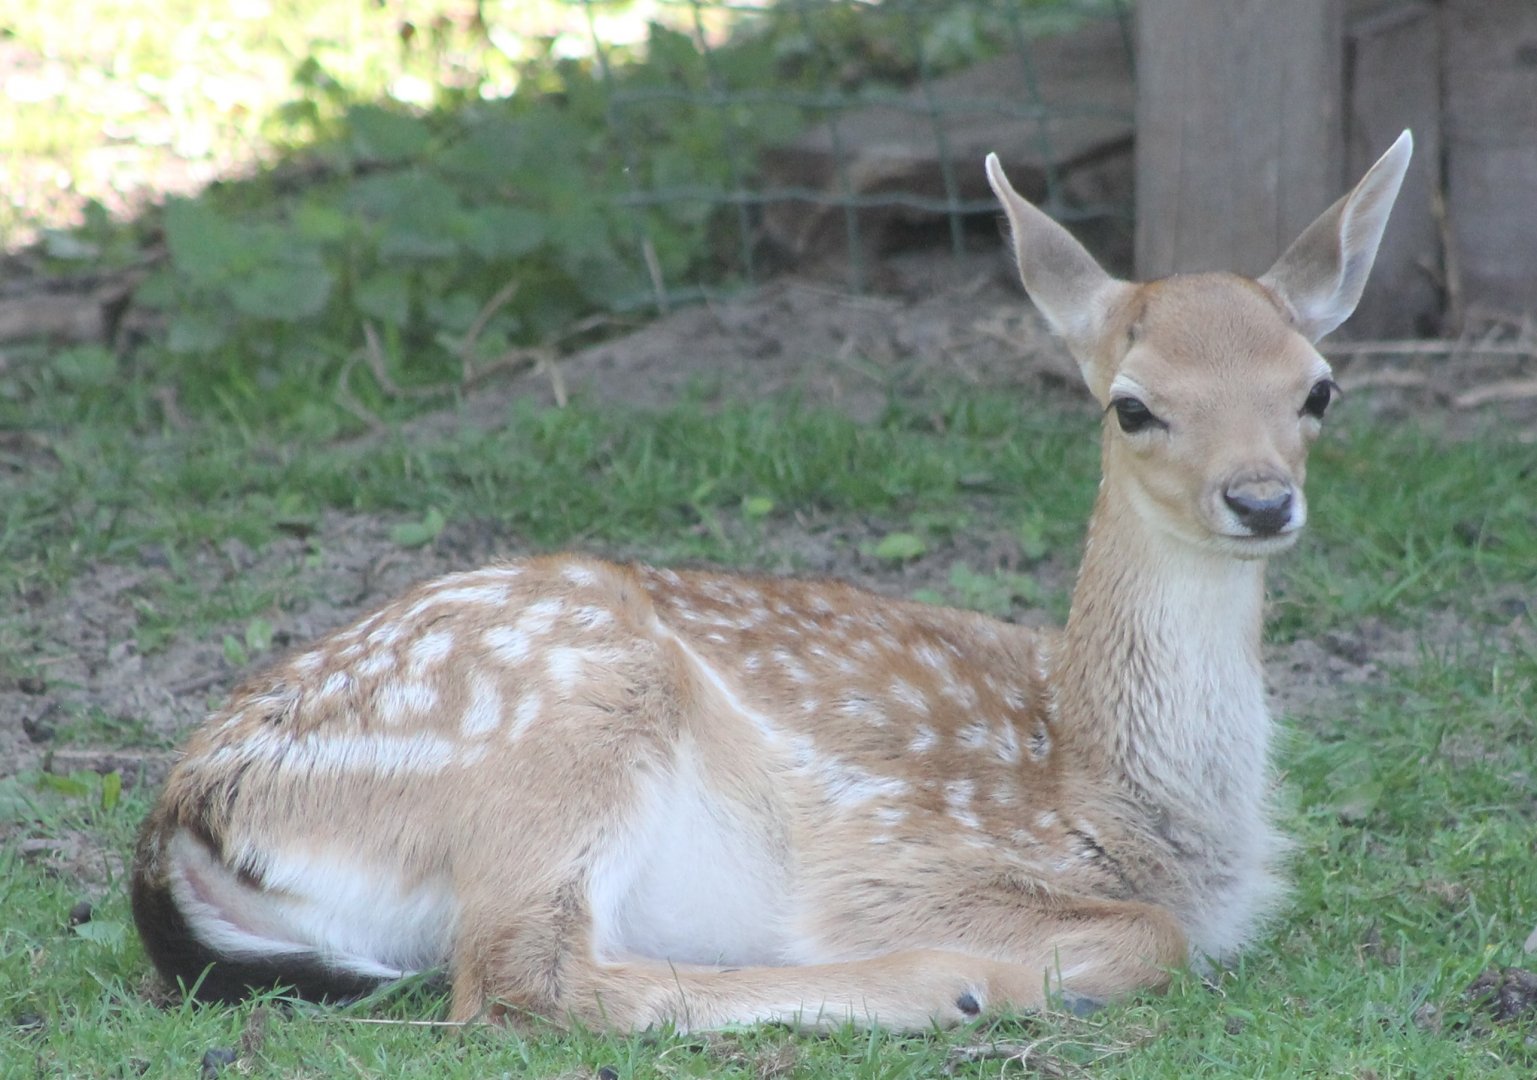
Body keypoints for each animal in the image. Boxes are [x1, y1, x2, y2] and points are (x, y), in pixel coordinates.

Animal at [131, 131, 1413, 1032]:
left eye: (1318, 388)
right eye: (1133, 405)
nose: (1259, 499)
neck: (1107, 787)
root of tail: (186, 815)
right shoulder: (896, 856)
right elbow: (1153, 936)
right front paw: (1026, 975)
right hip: (565, 716)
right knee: (522, 980)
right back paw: (945, 987)